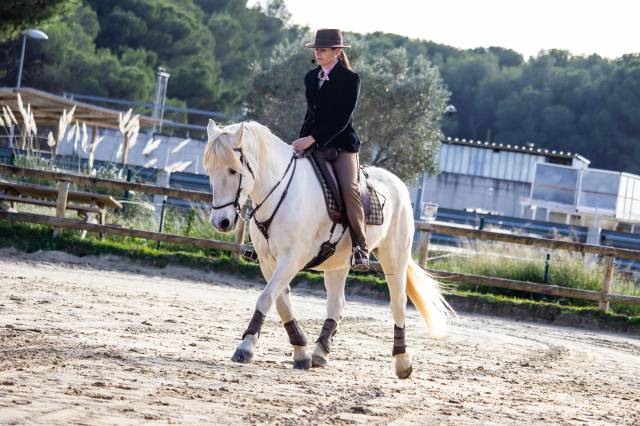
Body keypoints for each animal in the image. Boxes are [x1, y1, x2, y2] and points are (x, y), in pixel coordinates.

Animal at [203, 119, 454, 379]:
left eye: (234, 171)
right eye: (210, 170)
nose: (221, 222)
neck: (281, 190)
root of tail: (399, 184)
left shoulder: (292, 259)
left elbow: (265, 298)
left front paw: (245, 347)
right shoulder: (268, 261)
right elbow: (281, 303)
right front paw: (300, 353)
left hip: (394, 256)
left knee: (398, 303)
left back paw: (402, 362)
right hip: (338, 263)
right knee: (336, 303)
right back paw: (319, 352)